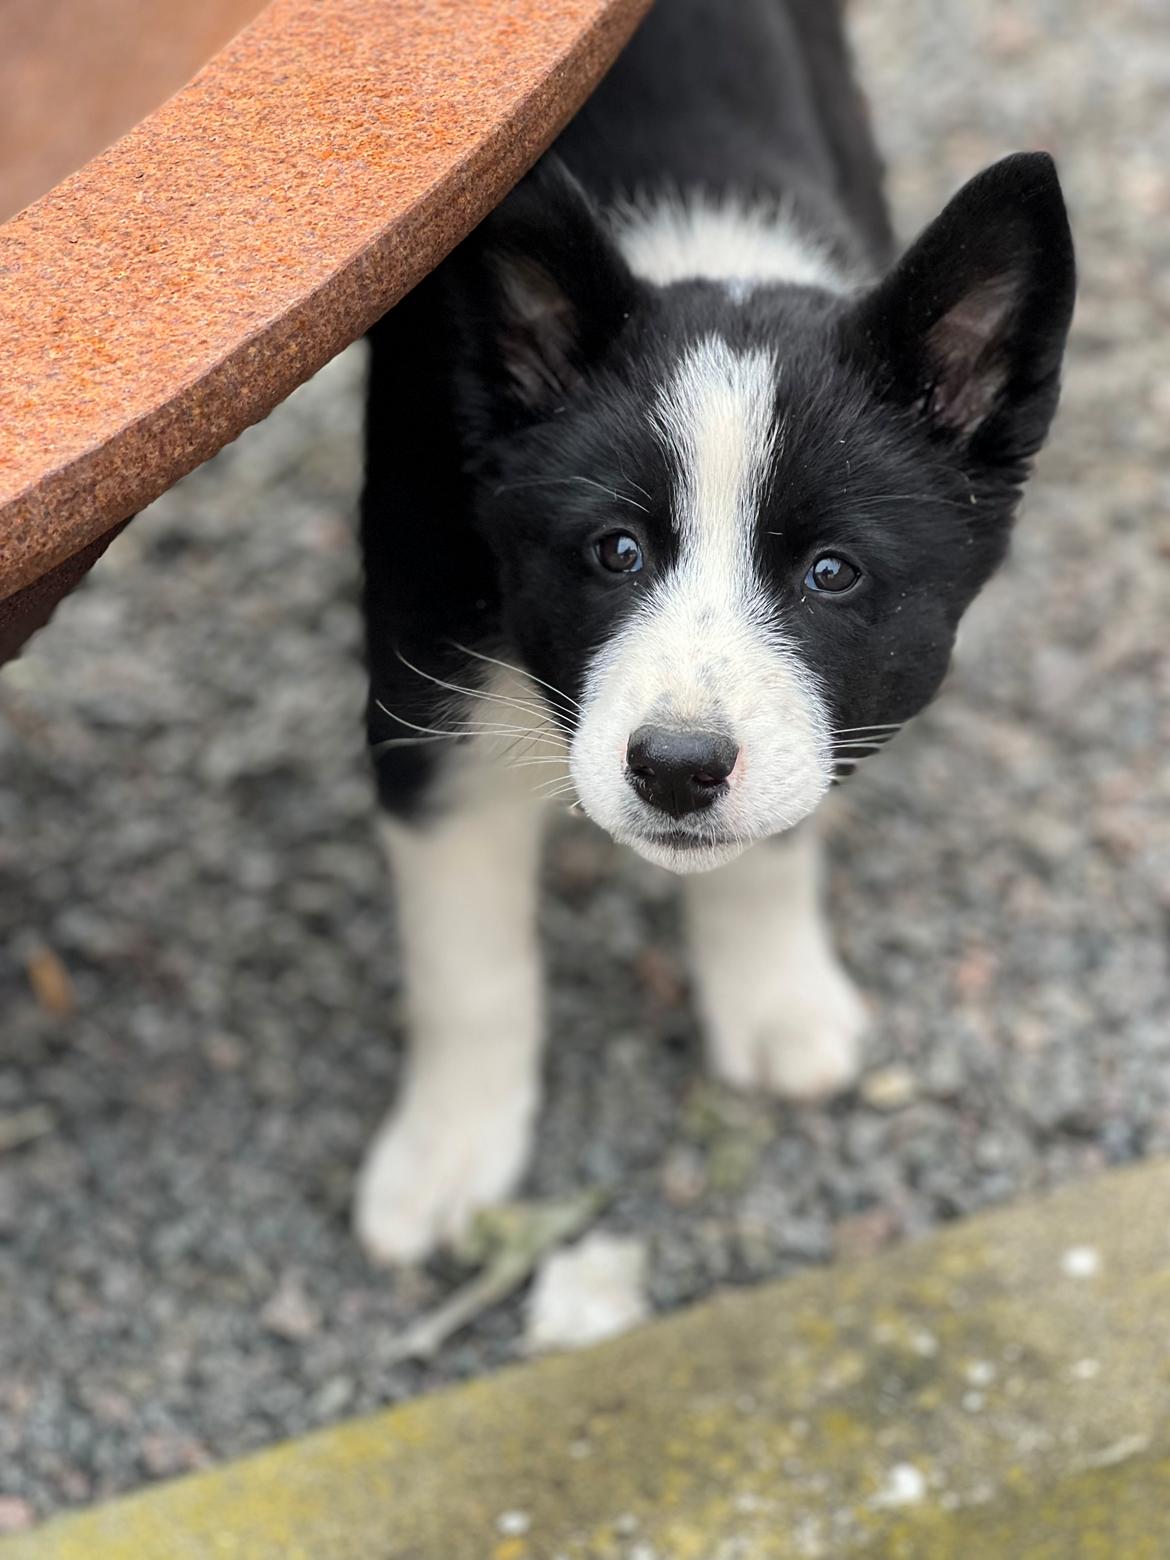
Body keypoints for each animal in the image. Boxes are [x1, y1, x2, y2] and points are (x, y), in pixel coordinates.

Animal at [360, 0, 1079, 1254]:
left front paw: (774, 1003)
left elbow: (774, 837)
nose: (678, 770)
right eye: (615, 552)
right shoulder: (420, 679)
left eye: (832, 574)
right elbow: (466, 955)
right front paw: (447, 1155)